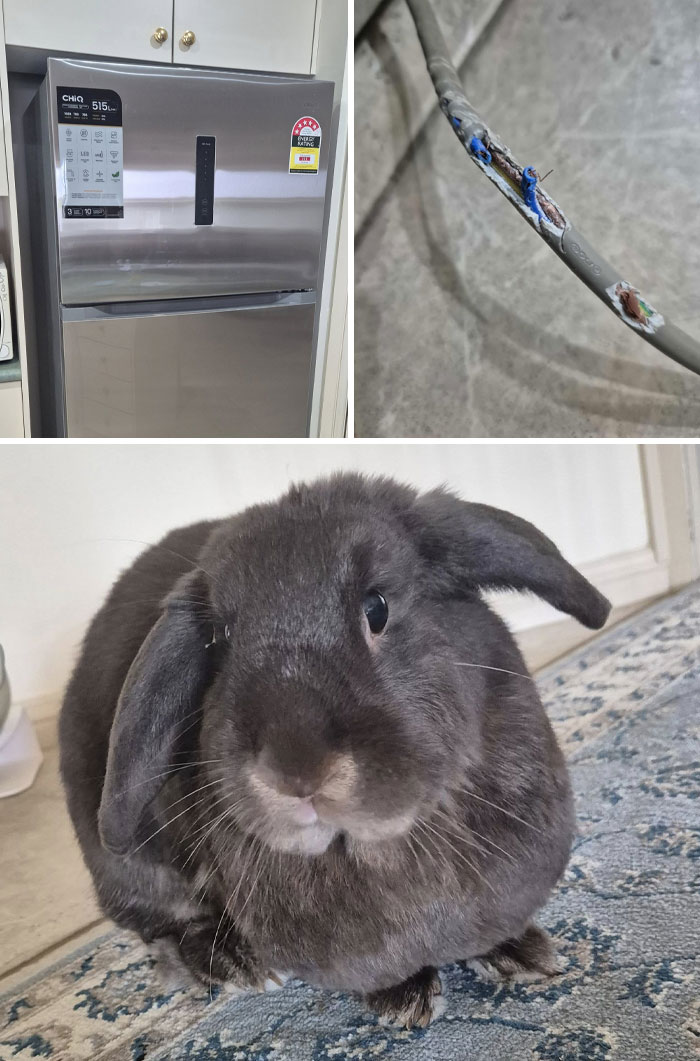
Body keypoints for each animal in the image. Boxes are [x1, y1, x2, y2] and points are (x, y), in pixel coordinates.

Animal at [59, 472, 610, 1028]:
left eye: (377, 607)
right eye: (220, 640)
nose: (296, 772)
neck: (388, 847)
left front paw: (519, 954)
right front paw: (403, 1000)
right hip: (135, 868)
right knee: (167, 924)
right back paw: (236, 961)